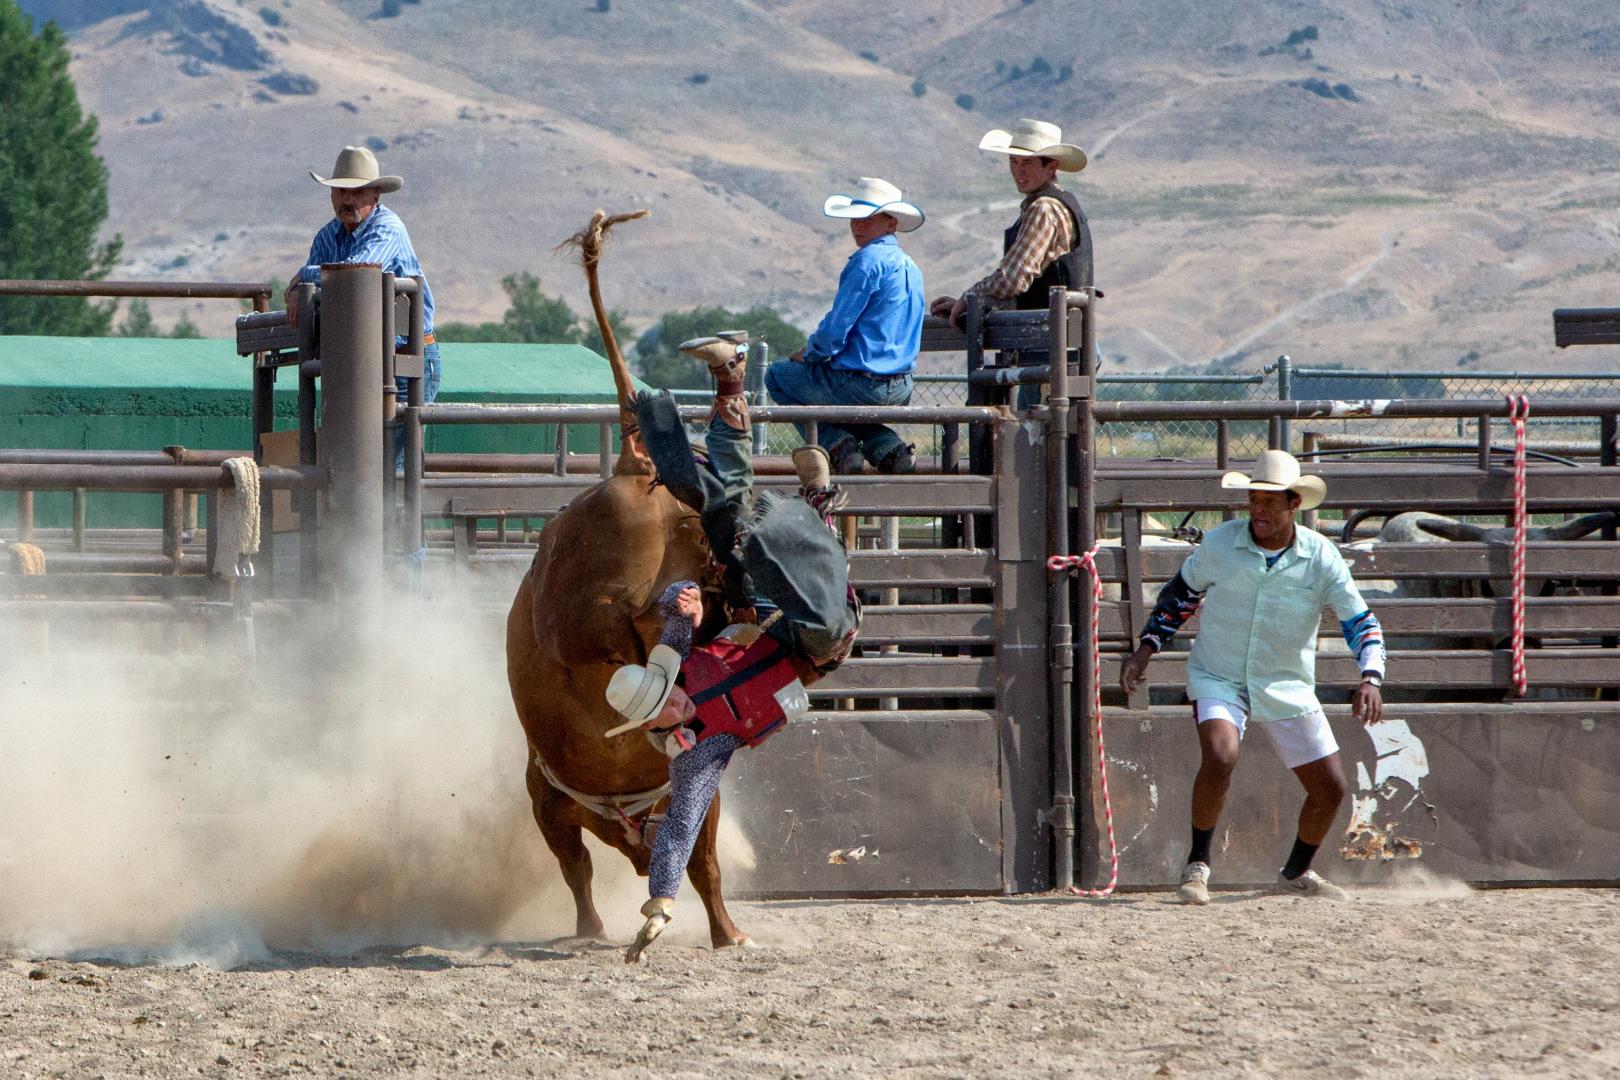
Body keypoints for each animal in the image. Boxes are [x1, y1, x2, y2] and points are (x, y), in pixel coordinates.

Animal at [502, 208, 748, 945]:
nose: (641, 859)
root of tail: (633, 465)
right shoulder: (559, 802)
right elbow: (684, 862)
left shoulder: (547, 801)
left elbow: (584, 866)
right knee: (683, 607)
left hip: (583, 615)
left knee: (624, 627)